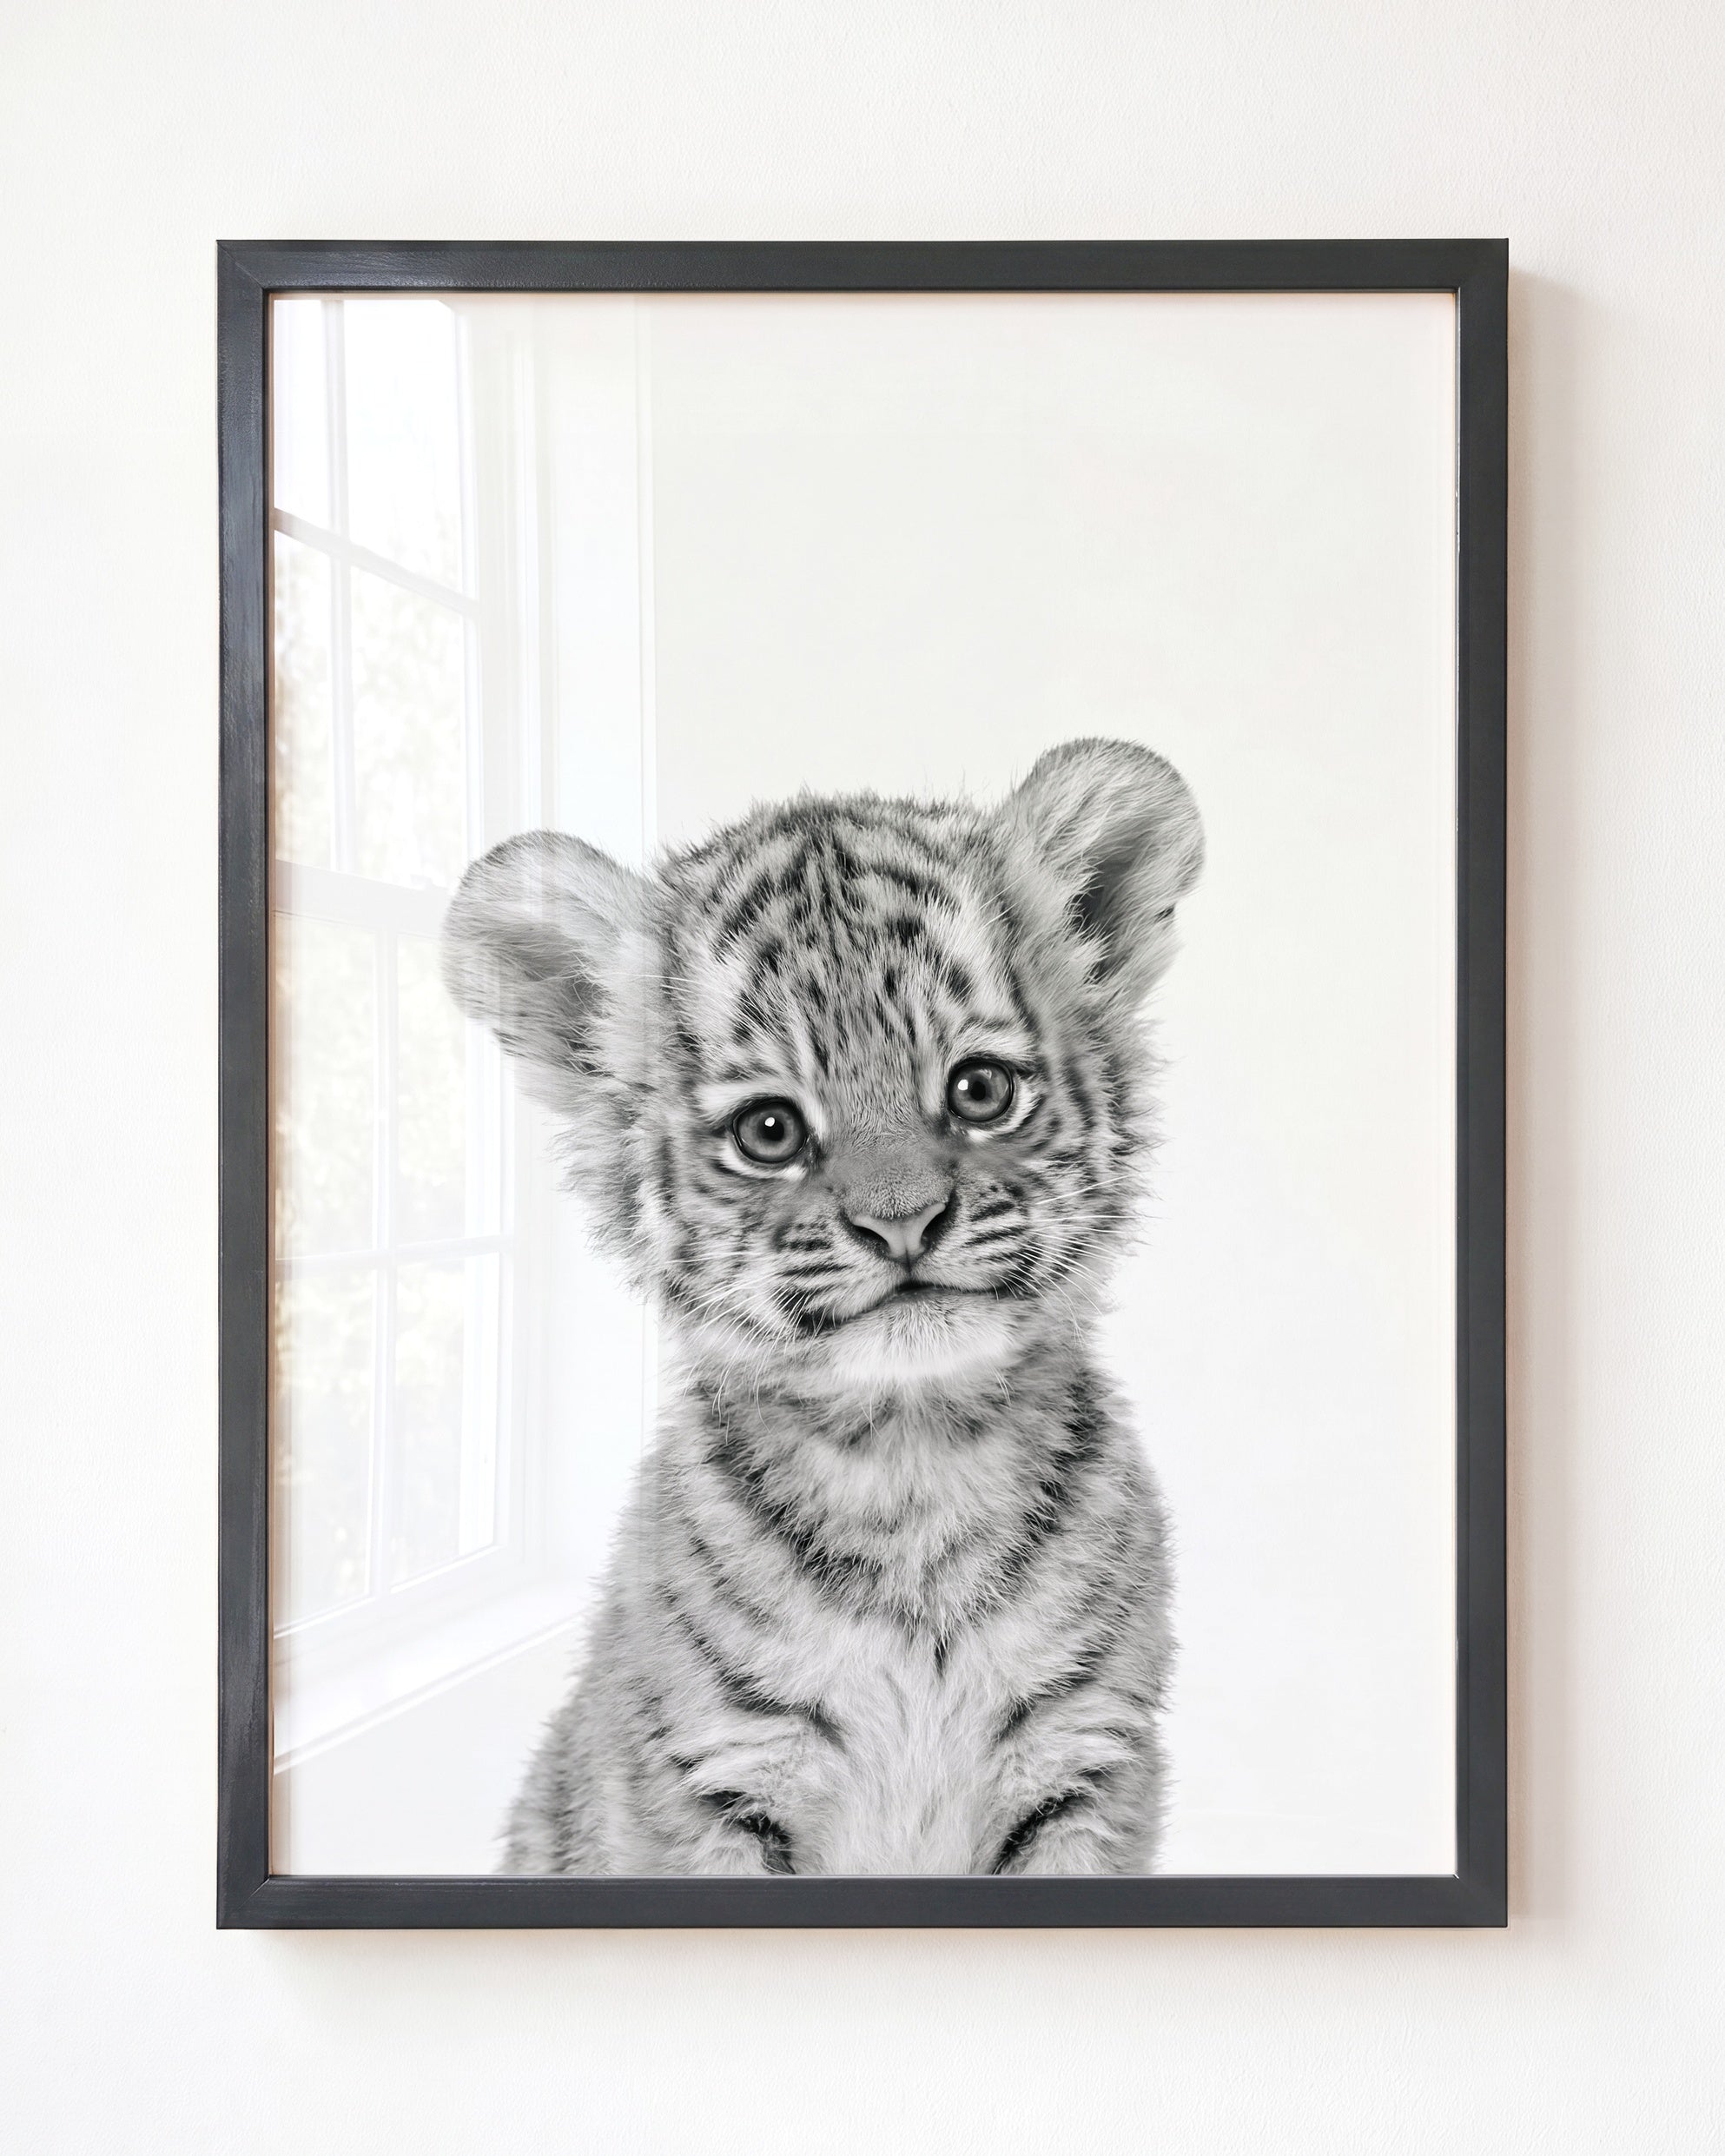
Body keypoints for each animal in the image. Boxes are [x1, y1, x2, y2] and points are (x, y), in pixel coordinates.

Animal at [441, 736, 1203, 1875]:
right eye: (769, 1130)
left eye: (981, 1090)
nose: (903, 1223)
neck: (914, 1467)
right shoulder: (710, 1778)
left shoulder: (1086, 1760)